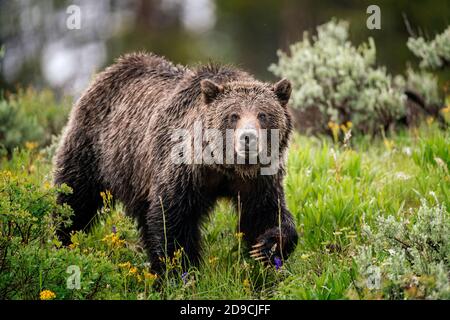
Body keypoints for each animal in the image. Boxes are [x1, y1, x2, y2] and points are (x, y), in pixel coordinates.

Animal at [53, 52, 298, 272]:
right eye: (233, 115)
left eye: (263, 114)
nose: (248, 138)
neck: (224, 167)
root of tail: (112, 69)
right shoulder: (183, 169)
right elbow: (172, 218)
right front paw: (180, 270)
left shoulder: (257, 179)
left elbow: (266, 212)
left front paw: (266, 247)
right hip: (94, 147)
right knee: (76, 197)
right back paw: (62, 240)